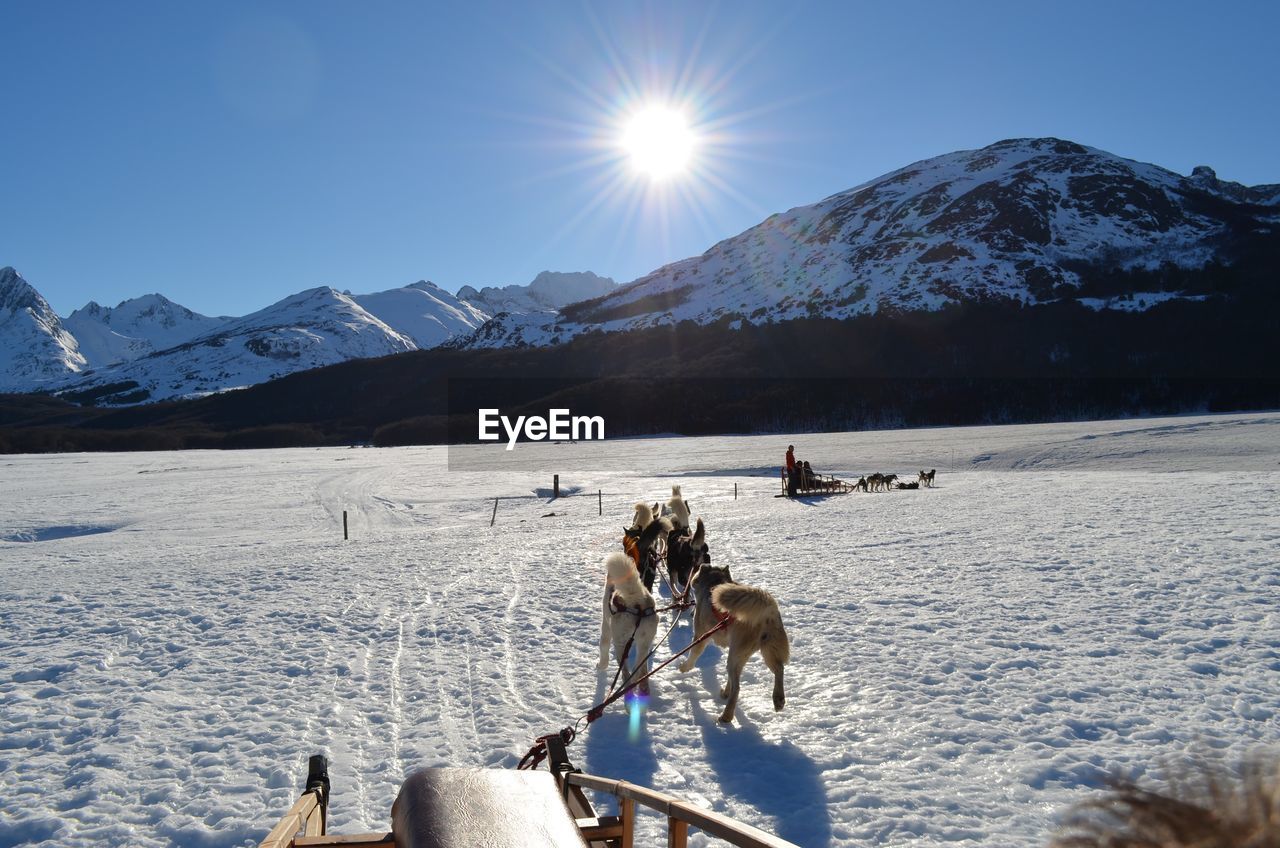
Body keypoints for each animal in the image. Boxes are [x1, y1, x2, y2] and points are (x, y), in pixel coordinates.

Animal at [596, 550, 660, 696]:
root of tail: (637, 602)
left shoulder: (606, 627)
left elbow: (603, 649)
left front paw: (601, 665)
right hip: (644, 643)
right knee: (640, 669)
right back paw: (642, 687)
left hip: (620, 644)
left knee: (626, 673)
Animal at [680, 563, 788, 722]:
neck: (714, 583)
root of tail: (767, 609)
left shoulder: (700, 636)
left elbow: (692, 656)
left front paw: (684, 667)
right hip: (763, 651)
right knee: (779, 669)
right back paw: (778, 699)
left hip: (738, 655)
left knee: (737, 688)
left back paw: (726, 716)